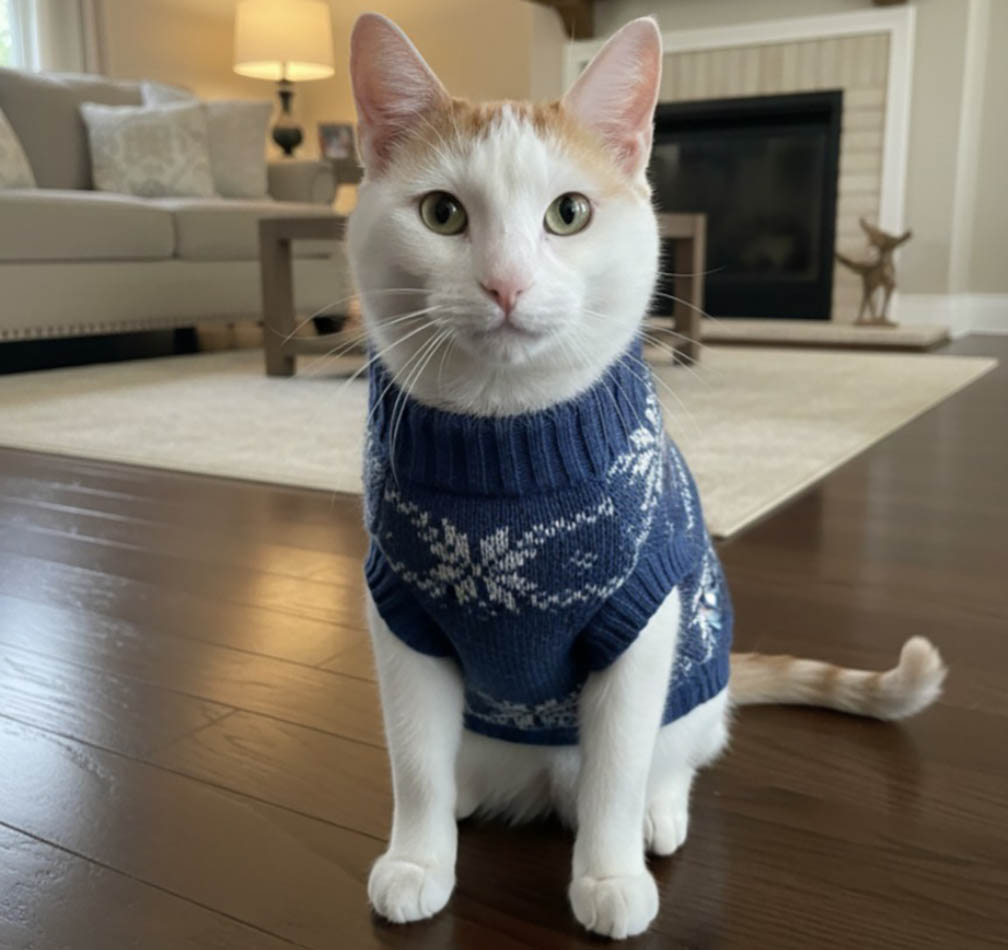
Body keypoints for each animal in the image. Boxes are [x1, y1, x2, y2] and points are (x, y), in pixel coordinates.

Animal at [345, 13, 946, 939]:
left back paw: (659, 815)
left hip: (692, 692)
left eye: (568, 214)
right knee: (455, 768)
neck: (509, 436)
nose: (506, 284)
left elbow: (616, 773)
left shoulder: (640, 623)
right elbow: (414, 763)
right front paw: (417, 858)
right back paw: (467, 797)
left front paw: (610, 874)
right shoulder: (402, 617)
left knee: (674, 761)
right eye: (443, 213)